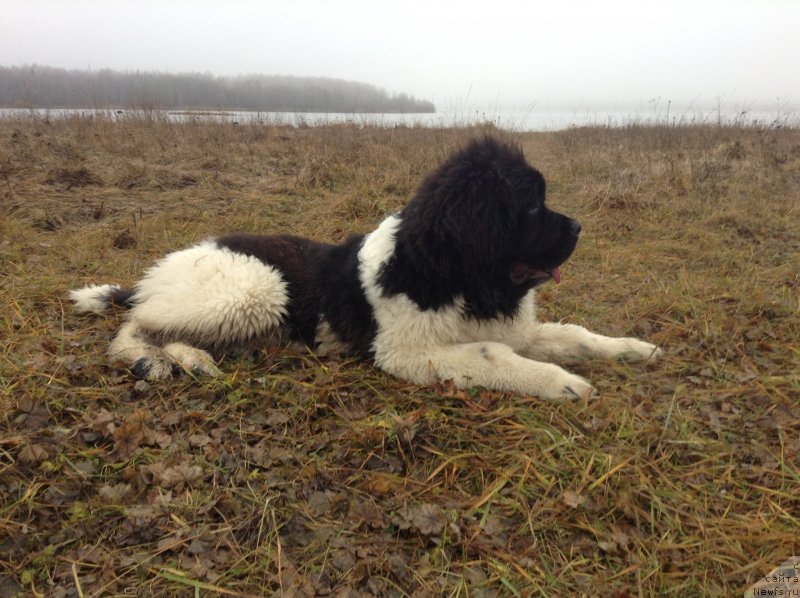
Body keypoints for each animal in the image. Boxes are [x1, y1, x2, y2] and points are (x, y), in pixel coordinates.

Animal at [72, 136, 660, 398]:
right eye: (533, 206)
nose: (579, 228)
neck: (454, 274)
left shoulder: (509, 326)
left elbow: (573, 335)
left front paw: (632, 349)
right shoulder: (405, 352)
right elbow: (492, 355)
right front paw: (562, 383)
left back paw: (190, 359)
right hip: (253, 290)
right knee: (134, 324)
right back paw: (152, 359)